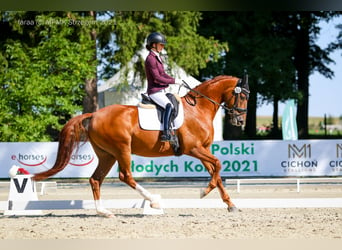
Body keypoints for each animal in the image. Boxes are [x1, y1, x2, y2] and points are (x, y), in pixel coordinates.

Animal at [33, 74, 250, 217]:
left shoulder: (203, 149)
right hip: (122, 149)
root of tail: (94, 114)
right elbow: (218, 165)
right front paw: (203, 191)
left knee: (95, 179)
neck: (198, 110)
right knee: (125, 176)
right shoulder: (194, 149)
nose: (240, 121)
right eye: (242, 96)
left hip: (107, 155)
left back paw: (103, 211)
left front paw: (230, 204)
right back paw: (153, 201)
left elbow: (216, 172)